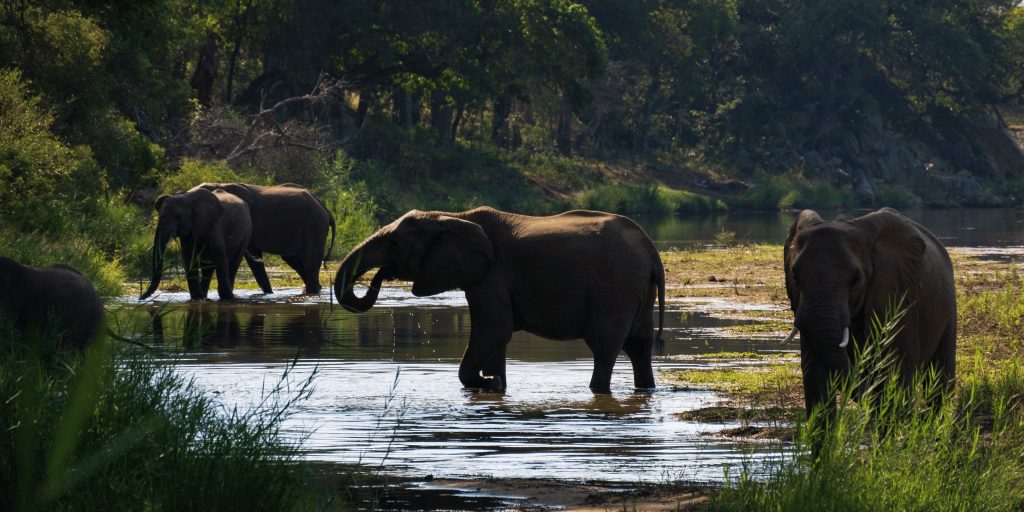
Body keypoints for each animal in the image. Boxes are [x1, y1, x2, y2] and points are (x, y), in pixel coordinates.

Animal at [192, 184, 335, 296]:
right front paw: (268, 294)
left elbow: (253, 258)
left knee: (310, 261)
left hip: (314, 227)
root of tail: (325, 208)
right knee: (294, 260)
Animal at [327, 205, 663, 393]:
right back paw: (645, 389)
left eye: (395, 243)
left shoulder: (490, 275)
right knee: (639, 346)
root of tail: (651, 250)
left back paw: (597, 391)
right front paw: (497, 384)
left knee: (604, 346)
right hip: (637, 291)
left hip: (615, 289)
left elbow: (493, 330)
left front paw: (486, 382)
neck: (454, 217)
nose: (381, 275)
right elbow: (497, 338)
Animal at [782, 207, 958, 415]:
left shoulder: (899, 292)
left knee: (939, 378)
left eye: (856, 279)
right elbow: (814, 370)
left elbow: (897, 362)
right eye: (795, 277)